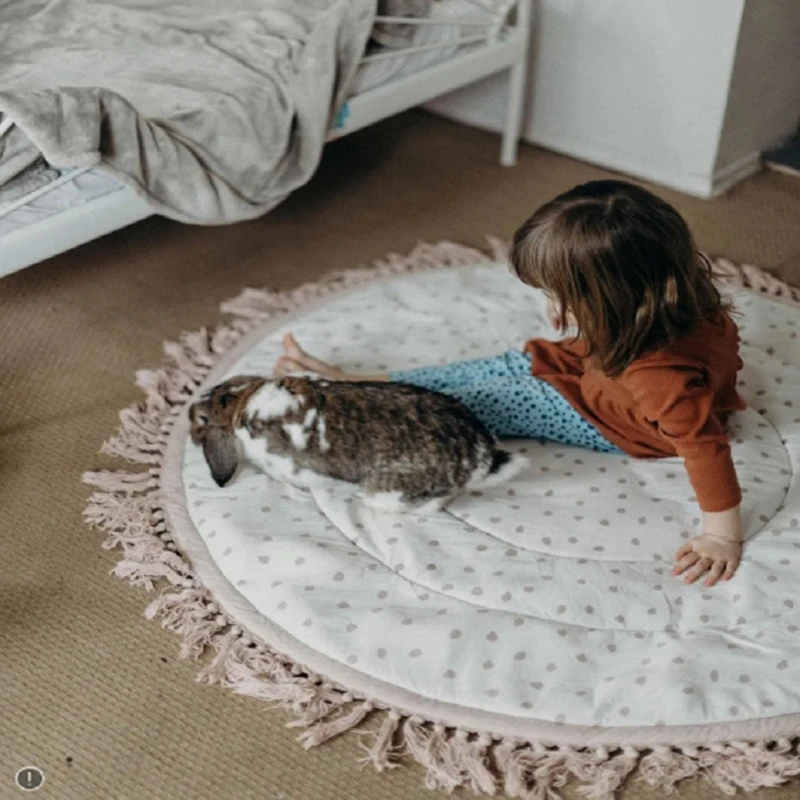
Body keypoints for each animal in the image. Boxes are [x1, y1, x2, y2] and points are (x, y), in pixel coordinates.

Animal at [190, 376, 528, 512]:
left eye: (201, 420)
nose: (190, 413)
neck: (239, 404)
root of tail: (482, 457)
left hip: (395, 486)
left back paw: (367, 502)